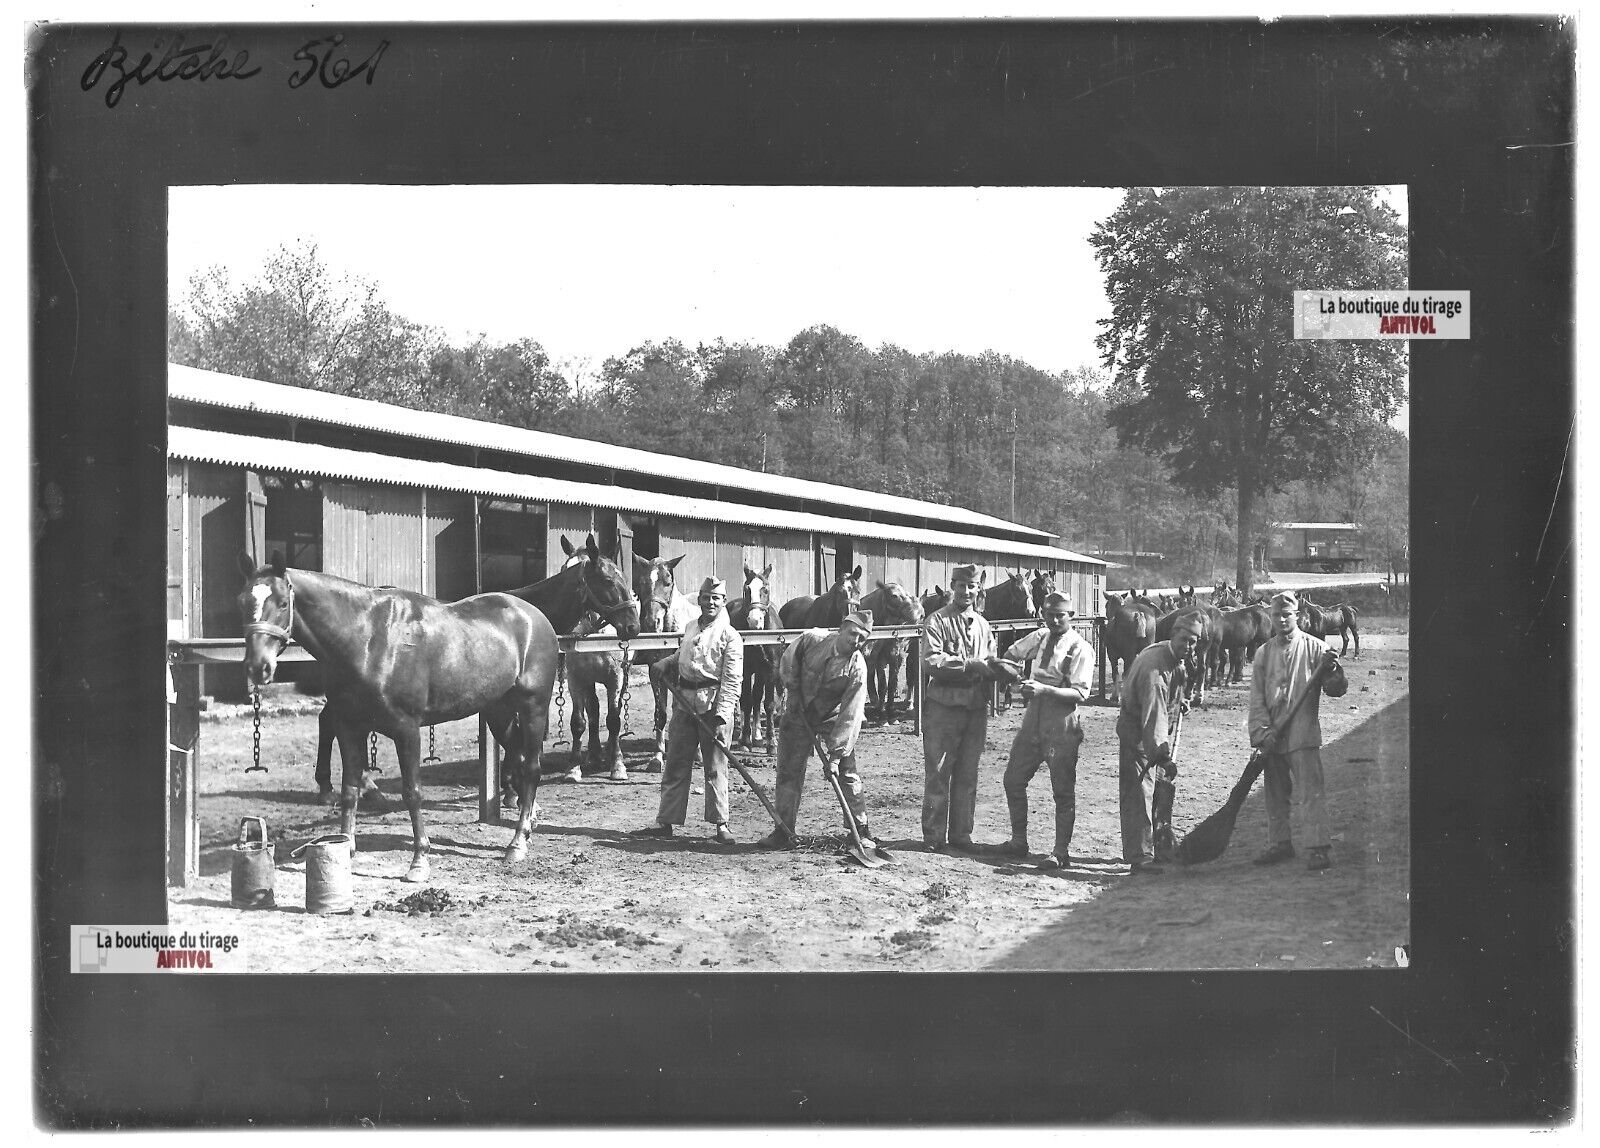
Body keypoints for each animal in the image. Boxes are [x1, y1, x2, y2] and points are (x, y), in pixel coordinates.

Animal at [236, 553, 563, 876]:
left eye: (282, 602)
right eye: (242, 602)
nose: (258, 667)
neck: (367, 639)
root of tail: (535, 616)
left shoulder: (406, 729)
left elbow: (412, 791)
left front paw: (420, 859)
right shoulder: (349, 726)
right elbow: (350, 789)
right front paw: (348, 848)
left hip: (533, 707)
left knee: (532, 768)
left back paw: (517, 843)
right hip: (499, 712)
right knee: (519, 758)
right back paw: (528, 823)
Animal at [864, 585, 928, 719]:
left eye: (922, 616)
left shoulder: (901, 657)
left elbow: (893, 683)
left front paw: (890, 709)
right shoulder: (881, 659)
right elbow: (883, 684)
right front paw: (882, 710)